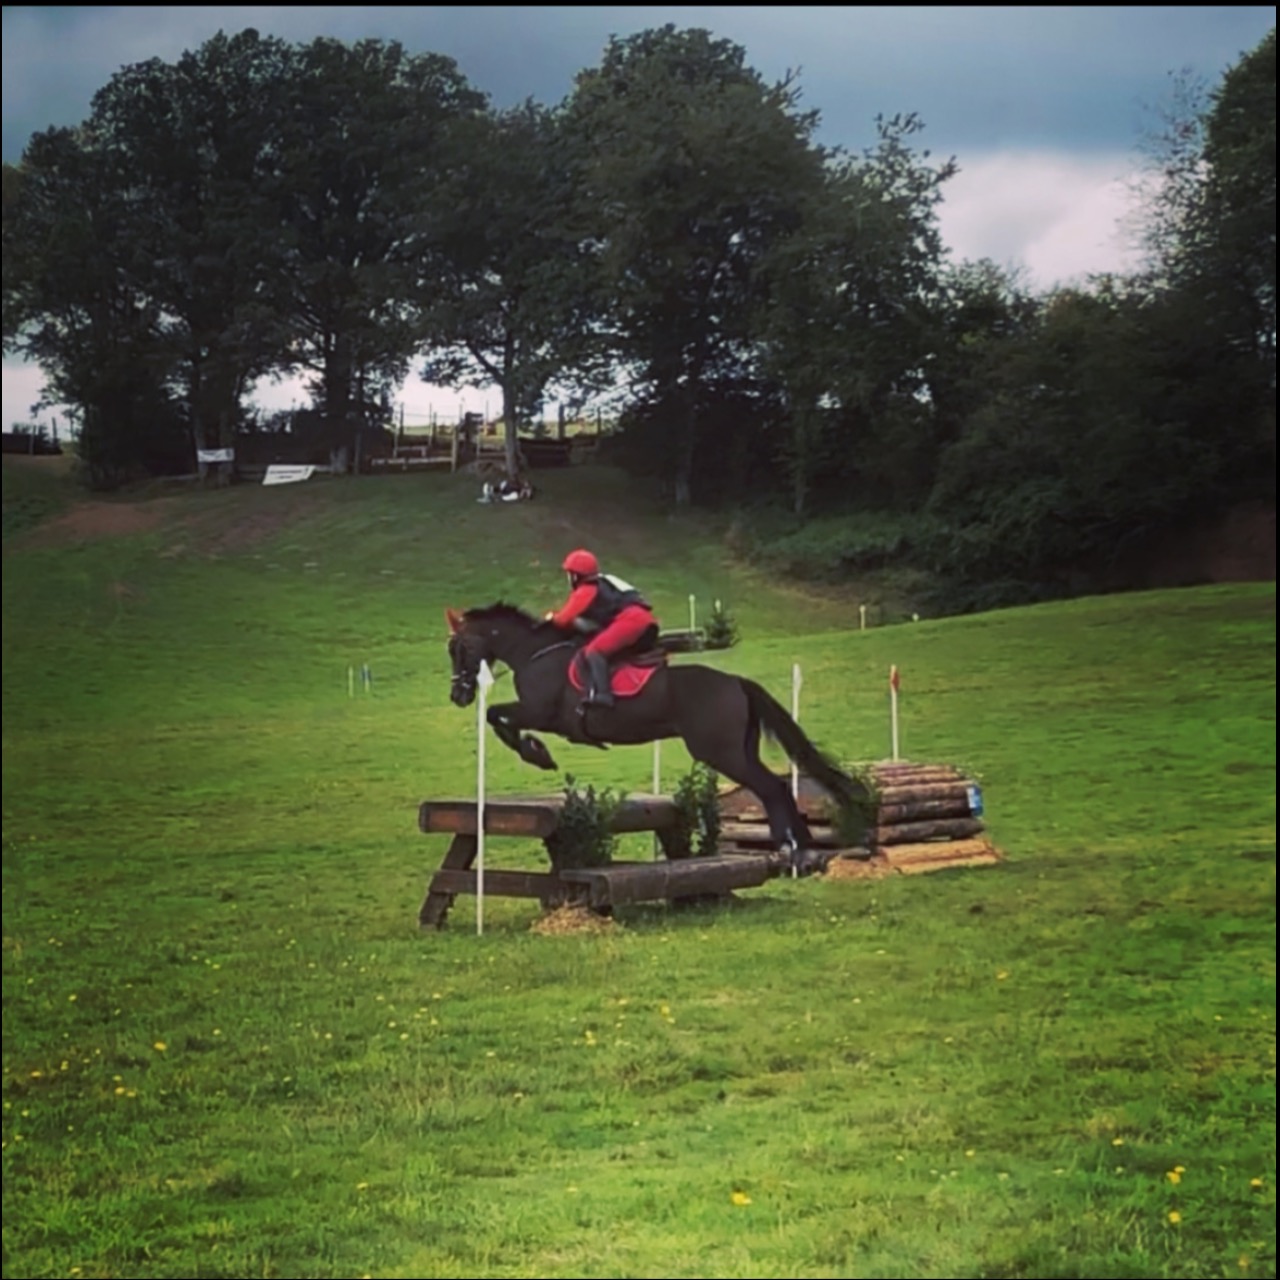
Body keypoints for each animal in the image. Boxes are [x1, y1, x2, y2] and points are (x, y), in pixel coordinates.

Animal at [442, 604, 870, 875]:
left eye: (460, 647)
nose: (458, 696)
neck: (534, 653)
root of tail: (736, 682)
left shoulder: (540, 713)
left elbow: (497, 717)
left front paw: (538, 754)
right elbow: (496, 717)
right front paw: (537, 752)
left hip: (721, 752)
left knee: (771, 787)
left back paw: (794, 849)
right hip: (738, 749)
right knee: (774, 787)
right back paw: (802, 847)